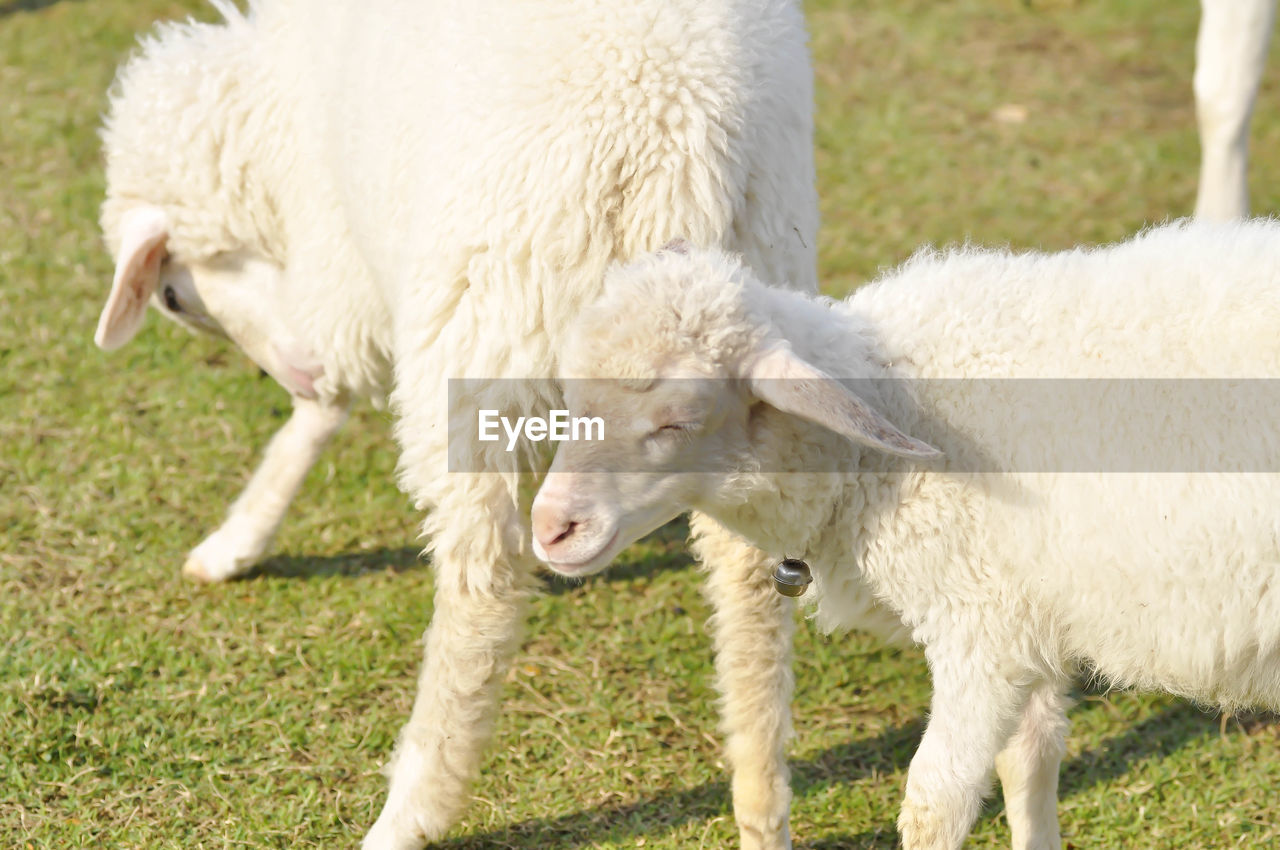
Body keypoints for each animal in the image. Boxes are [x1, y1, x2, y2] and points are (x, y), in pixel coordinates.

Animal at [99, 1, 819, 850]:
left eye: (172, 296)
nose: (296, 368)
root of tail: (677, 146)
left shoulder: (344, 261)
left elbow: (325, 405)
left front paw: (237, 537)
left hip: (479, 326)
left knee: (484, 583)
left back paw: (409, 811)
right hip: (747, 301)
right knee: (750, 577)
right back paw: (761, 804)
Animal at [529, 220, 1280, 850]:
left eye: (679, 419)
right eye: (570, 396)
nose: (552, 528)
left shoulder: (982, 630)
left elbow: (933, 805)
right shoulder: (1026, 618)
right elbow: (1030, 758)